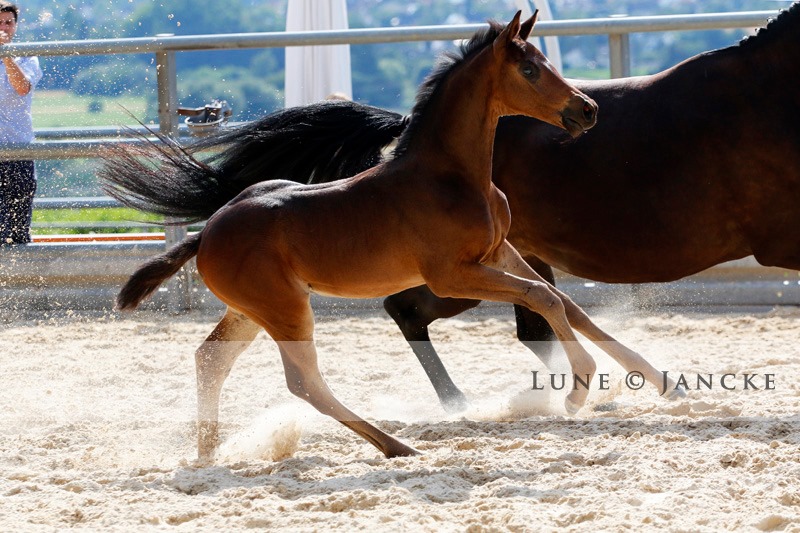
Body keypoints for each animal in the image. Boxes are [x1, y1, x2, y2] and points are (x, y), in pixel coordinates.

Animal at [101, 13, 676, 462]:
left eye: (545, 60)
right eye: (530, 69)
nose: (587, 110)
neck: (451, 175)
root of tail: (206, 234)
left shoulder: (499, 252)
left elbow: (563, 302)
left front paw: (654, 377)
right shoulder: (452, 274)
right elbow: (543, 297)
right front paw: (579, 387)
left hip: (249, 310)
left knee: (210, 360)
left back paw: (207, 451)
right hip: (285, 310)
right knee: (303, 381)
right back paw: (395, 445)